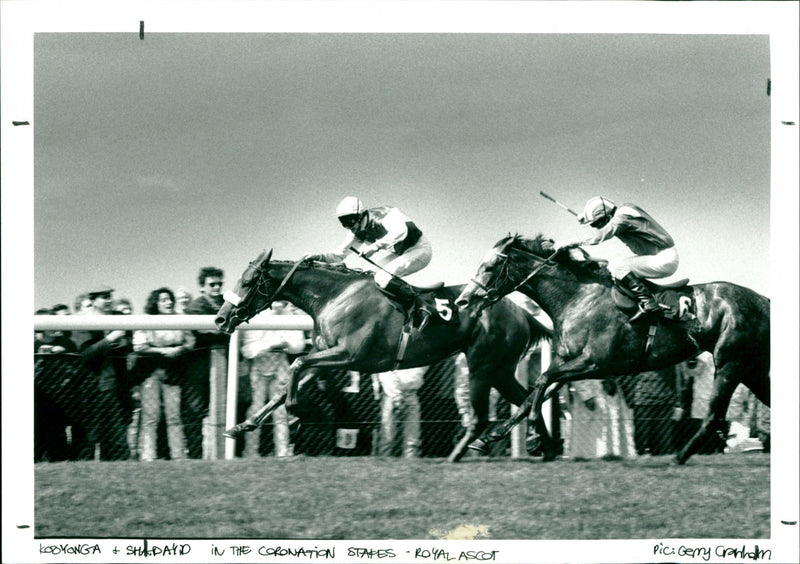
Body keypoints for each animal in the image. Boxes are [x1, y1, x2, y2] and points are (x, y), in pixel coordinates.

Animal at [212, 249, 552, 460]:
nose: (220, 318)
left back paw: (465, 452)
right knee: (527, 399)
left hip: (482, 366)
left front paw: (296, 415)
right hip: (501, 369)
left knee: (484, 416)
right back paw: (542, 445)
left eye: (247, 282)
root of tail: (522, 312)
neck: (335, 297)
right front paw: (242, 426)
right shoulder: (326, 357)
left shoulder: (351, 355)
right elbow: (286, 384)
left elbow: (296, 364)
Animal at [454, 232, 772, 462]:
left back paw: (679, 456)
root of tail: (763, 300)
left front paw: (532, 436)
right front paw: (488, 438)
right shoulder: (568, 364)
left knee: (712, 416)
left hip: (730, 363)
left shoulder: (594, 364)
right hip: (750, 368)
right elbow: (532, 395)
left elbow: (541, 383)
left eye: (490, 266)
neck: (578, 298)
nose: (463, 300)